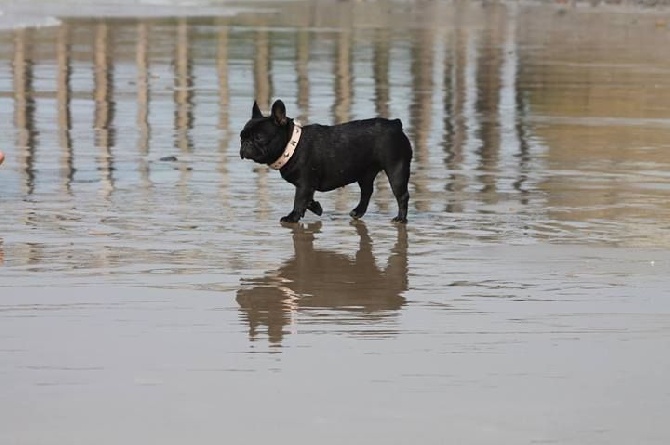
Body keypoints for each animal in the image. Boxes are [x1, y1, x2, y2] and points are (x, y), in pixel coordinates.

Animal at [239, 99, 412, 222]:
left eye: (259, 138)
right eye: (242, 136)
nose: (245, 144)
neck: (292, 146)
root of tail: (395, 124)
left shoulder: (304, 184)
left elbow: (299, 200)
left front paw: (292, 217)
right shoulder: (307, 186)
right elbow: (307, 200)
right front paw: (317, 208)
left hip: (396, 169)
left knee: (401, 195)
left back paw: (400, 219)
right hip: (365, 173)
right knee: (367, 192)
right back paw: (358, 212)